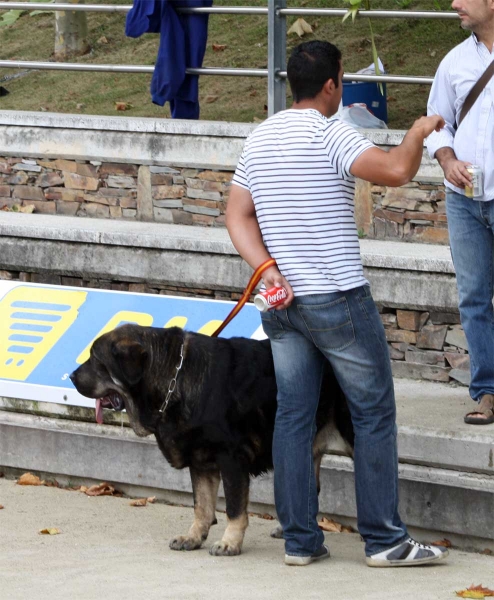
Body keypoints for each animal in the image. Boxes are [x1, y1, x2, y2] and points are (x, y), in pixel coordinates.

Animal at [70, 326, 356, 556]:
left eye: (96, 360)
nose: (71, 376)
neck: (174, 377)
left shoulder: (231, 459)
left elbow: (234, 508)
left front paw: (230, 543)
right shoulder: (201, 462)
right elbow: (202, 505)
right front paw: (194, 536)